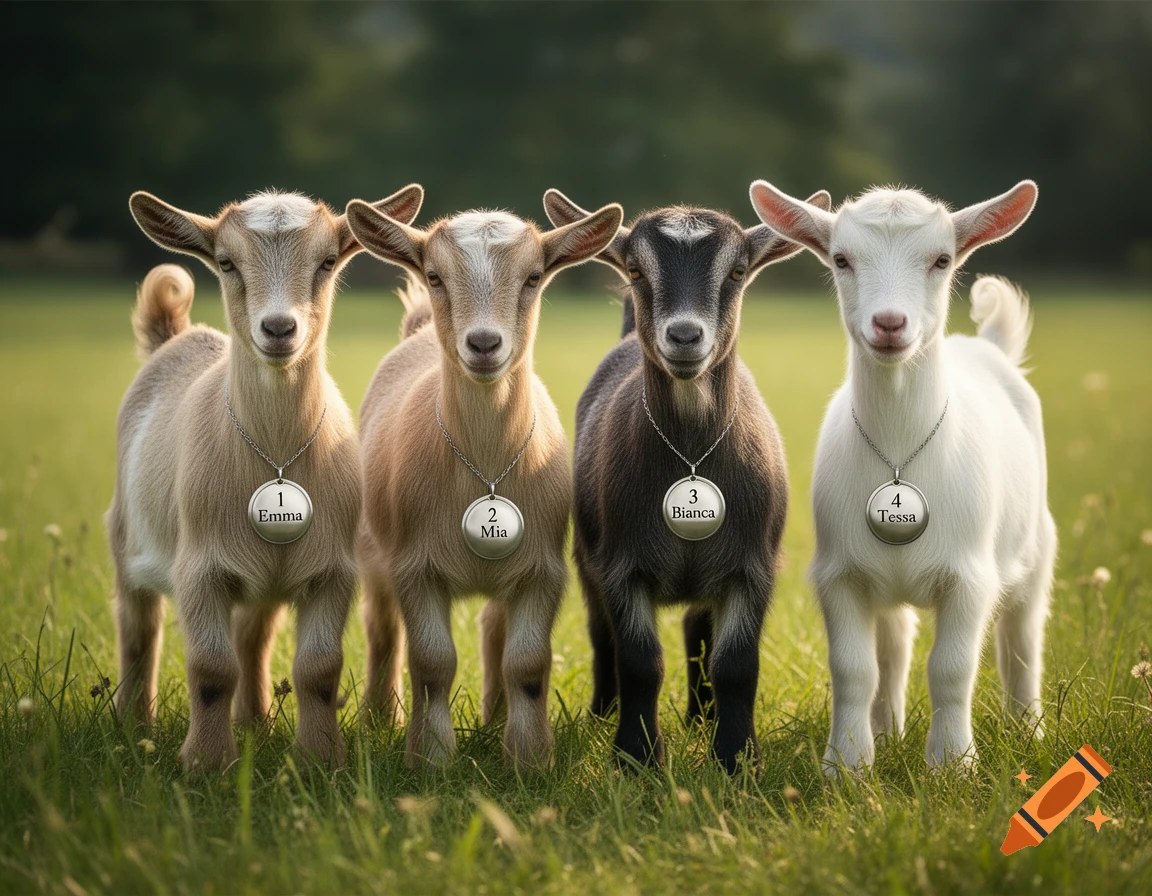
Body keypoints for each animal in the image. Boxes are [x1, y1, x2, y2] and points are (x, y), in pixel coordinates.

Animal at [110, 184, 424, 771]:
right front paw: (206, 763)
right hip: (124, 536)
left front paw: (321, 759)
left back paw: (254, 720)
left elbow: (318, 668)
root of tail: (179, 335)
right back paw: (133, 723)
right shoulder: (199, 567)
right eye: (226, 262)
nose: (279, 329)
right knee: (138, 627)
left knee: (251, 636)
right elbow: (210, 668)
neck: (275, 457)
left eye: (327, 261)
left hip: (262, 578)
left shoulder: (332, 568)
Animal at [344, 195, 623, 768]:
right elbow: (432, 662)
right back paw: (380, 719)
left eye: (533, 277)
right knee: (382, 628)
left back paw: (495, 718)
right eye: (434, 274)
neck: (483, 471)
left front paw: (530, 758)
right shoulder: (415, 566)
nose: (484, 343)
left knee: (493, 627)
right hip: (373, 546)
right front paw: (429, 757)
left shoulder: (542, 568)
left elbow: (528, 662)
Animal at [544, 189, 829, 772]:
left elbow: (736, 664)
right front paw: (635, 757)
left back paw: (702, 717)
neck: (690, 456)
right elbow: (639, 661)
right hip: (587, 555)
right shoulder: (621, 564)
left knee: (698, 631)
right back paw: (602, 714)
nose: (683, 335)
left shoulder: (752, 565)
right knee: (601, 635)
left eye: (738, 272)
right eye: (635, 268)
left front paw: (737, 759)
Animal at [749, 178, 1054, 772]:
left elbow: (952, 668)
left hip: (1035, 550)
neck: (898, 454)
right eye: (841, 259)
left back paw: (1029, 732)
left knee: (1023, 640)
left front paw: (953, 765)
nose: (889, 324)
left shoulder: (970, 577)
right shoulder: (840, 574)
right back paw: (886, 734)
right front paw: (846, 765)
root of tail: (987, 346)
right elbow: (853, 669)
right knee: (893, 646)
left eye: (942, 259)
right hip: (884, 583)